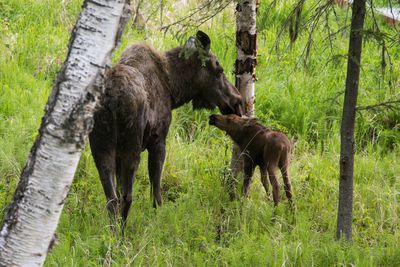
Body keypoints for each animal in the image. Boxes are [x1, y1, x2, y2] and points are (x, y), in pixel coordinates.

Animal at [89, 30, 242, 224]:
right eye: (219, 69)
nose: (237, 100)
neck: (173, 88)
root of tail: (112, 99)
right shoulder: (158, 140)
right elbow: (156, 191)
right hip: (131, 146)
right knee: (126, 197)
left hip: (101, 147)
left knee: (111, 199)